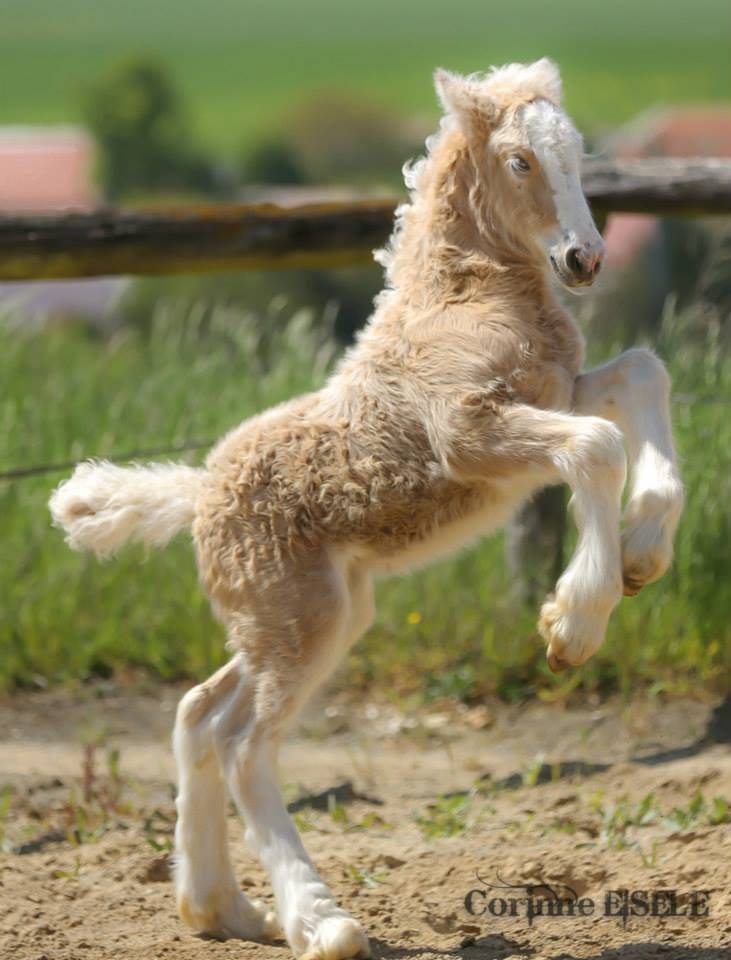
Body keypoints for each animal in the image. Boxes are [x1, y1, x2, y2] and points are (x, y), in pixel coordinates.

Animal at [53, 58, 688, 960]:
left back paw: (222, 909)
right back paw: (319, 921)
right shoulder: (470, 434)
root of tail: (199, 491)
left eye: (578, 155)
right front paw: (573, 623)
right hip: (297, 619)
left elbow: (641, 374)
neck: (462, 295)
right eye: (521, 161)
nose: (585, 257)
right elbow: (598, 446)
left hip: (305, 618)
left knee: (199, 716)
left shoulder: (555, 391)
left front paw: (641, 555)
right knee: (243, 747)